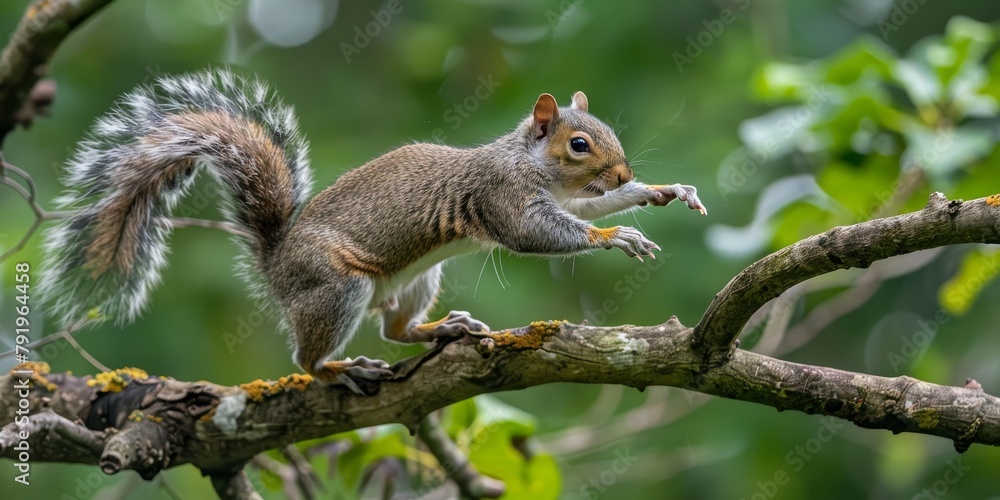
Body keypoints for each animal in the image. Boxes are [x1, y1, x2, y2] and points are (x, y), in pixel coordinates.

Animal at [41, 69, 707, 392]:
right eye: (579, 144)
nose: (624, 171)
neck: (525, 161)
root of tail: (276, 266)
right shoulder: (503, 199)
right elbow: (540, 233)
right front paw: (614, 239)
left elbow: (593, 208)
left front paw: (651, 194)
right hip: (338, 288)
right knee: (311, 357)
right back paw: (339, 369)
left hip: (417, 280)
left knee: (396, 329)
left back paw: (443, 327)